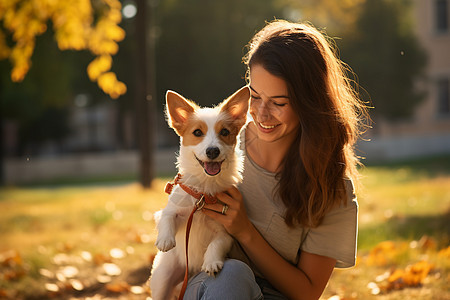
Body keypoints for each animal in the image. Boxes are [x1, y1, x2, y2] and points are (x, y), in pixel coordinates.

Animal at [150, 85, 250, 298]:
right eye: (197, 132)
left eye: (225, 132)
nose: (212, 151)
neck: (204, 191)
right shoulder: (170, 210)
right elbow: (167, 217)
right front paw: (165, 239)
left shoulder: (227, 232)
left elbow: (217, 243)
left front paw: (211, 262)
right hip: (163, 278)